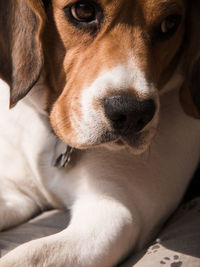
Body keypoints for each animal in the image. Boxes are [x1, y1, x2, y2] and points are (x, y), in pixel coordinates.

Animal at [0, 0, 200, 266]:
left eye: (170, 23)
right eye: (83, 10)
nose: (132, 113)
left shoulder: (114, 212)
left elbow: (27, 254)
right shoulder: (17, 192)